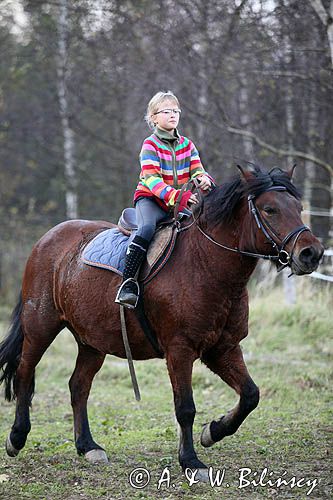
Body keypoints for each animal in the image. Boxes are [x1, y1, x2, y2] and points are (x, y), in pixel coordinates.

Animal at [0, 166, 322, 478]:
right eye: (270, 209)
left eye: (298, 206)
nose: (311, 253)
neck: (205, 264)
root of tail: (47, 239)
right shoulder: (180, 350)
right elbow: (186, 408)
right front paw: (191, 461)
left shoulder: (223, 348)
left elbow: (250, 395)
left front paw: (213, 432)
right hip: (41, 327)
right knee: (25, 373)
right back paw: (17, 437)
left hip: (92, 342)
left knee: (78, 386)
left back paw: (88, 446)